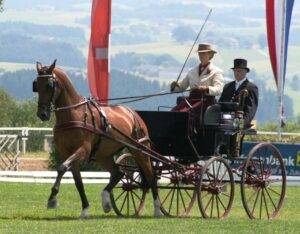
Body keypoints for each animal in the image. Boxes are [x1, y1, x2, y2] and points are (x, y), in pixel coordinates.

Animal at [33, 60, 163, 218]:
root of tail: (133, 114)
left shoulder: (83, 149)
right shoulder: (66, 152)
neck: (74, 114)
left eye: (50, 85)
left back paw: (158, 210)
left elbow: (62, 167)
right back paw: (106, 201)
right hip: (103, 156)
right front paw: (84, 210)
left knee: (150, 176)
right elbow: (78, 182)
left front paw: (52, 199)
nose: (42, 114)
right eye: (36, 85)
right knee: (118, 172)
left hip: (140, 151)